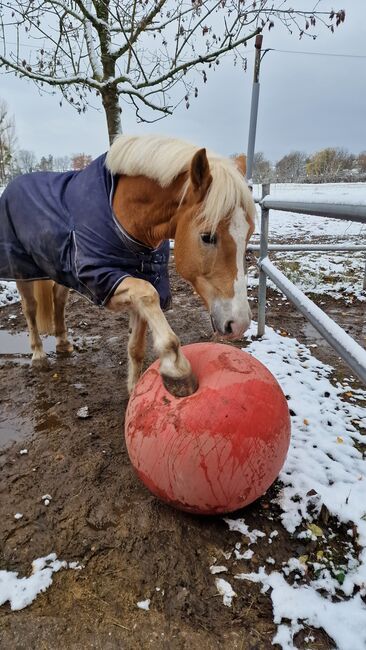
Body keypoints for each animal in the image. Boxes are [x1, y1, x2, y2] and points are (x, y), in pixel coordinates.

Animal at [0, 134, 254, 394]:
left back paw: (63, 343)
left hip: (61, 270)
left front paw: (134, 391)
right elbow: (148, 295)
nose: (239, 324)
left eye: (248, 234)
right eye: (207, 236)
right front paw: (176, 367)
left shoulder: (142, 280)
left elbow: (136, 346)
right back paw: (39, 356)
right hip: (22, 272)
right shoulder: (105, 280)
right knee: (30, 309)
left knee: (58, 300)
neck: (125, 216)